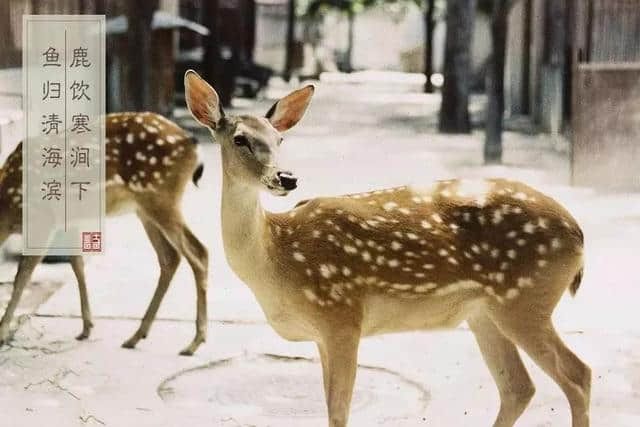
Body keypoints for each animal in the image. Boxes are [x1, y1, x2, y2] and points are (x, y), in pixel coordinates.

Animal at [0, 112, 209, 356]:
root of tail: (191, 143)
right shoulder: (68, 221)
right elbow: (77, 264)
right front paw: (86, 327)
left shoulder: (43, 219)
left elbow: (22, 275)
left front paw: (2, 332)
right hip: (145, 207)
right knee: (170, 257)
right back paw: (136, 336)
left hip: (160, 196)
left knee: (198, 252)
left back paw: (194, 341)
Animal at [184, 71, 592, 427]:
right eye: (239, 139)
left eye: (280, 139)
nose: (286, 178)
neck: (277, 256)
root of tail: (578, 233)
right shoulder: (322, 334)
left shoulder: (342, 316)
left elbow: (338, 413)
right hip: (485, 312)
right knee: (518, 387)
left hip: (524, 298)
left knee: (578, 375)